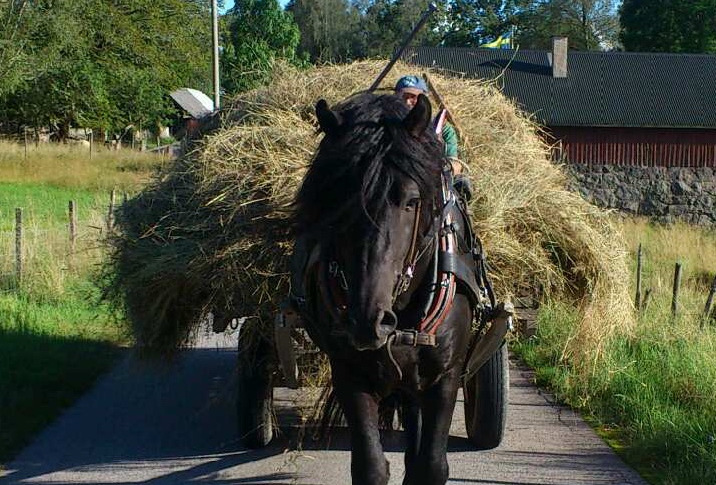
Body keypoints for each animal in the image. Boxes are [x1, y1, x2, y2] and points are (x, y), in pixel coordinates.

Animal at [288, 91, 490, 484]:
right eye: (336, 200)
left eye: (411, 201)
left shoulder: (446, 376)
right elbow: (369, 466)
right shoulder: (349, 372)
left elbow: (432, 465)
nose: (368, 321)